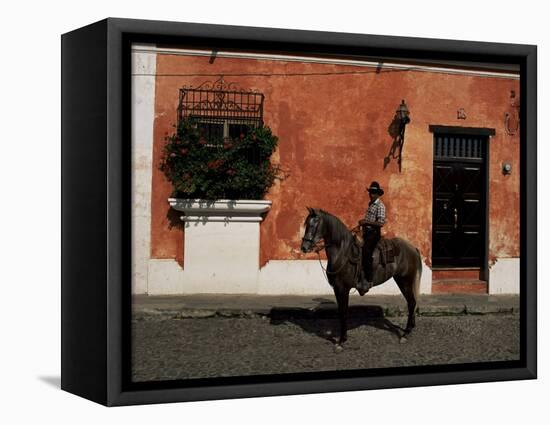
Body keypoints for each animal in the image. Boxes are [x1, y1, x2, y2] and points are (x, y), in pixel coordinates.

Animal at [302, 207, 422, 350]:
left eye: (314, 225)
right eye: (306, 224)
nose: (304, 247)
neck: (342, 253)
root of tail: (412, 248)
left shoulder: (343, 288)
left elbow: (343, 312)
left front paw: (341, 341)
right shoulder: (337, 289)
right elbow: (340, 312)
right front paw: (341, 339)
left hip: (406, 280)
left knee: (412, 302)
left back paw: (405, 334)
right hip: (401, 280)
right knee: (411, 302)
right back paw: (409, 329)